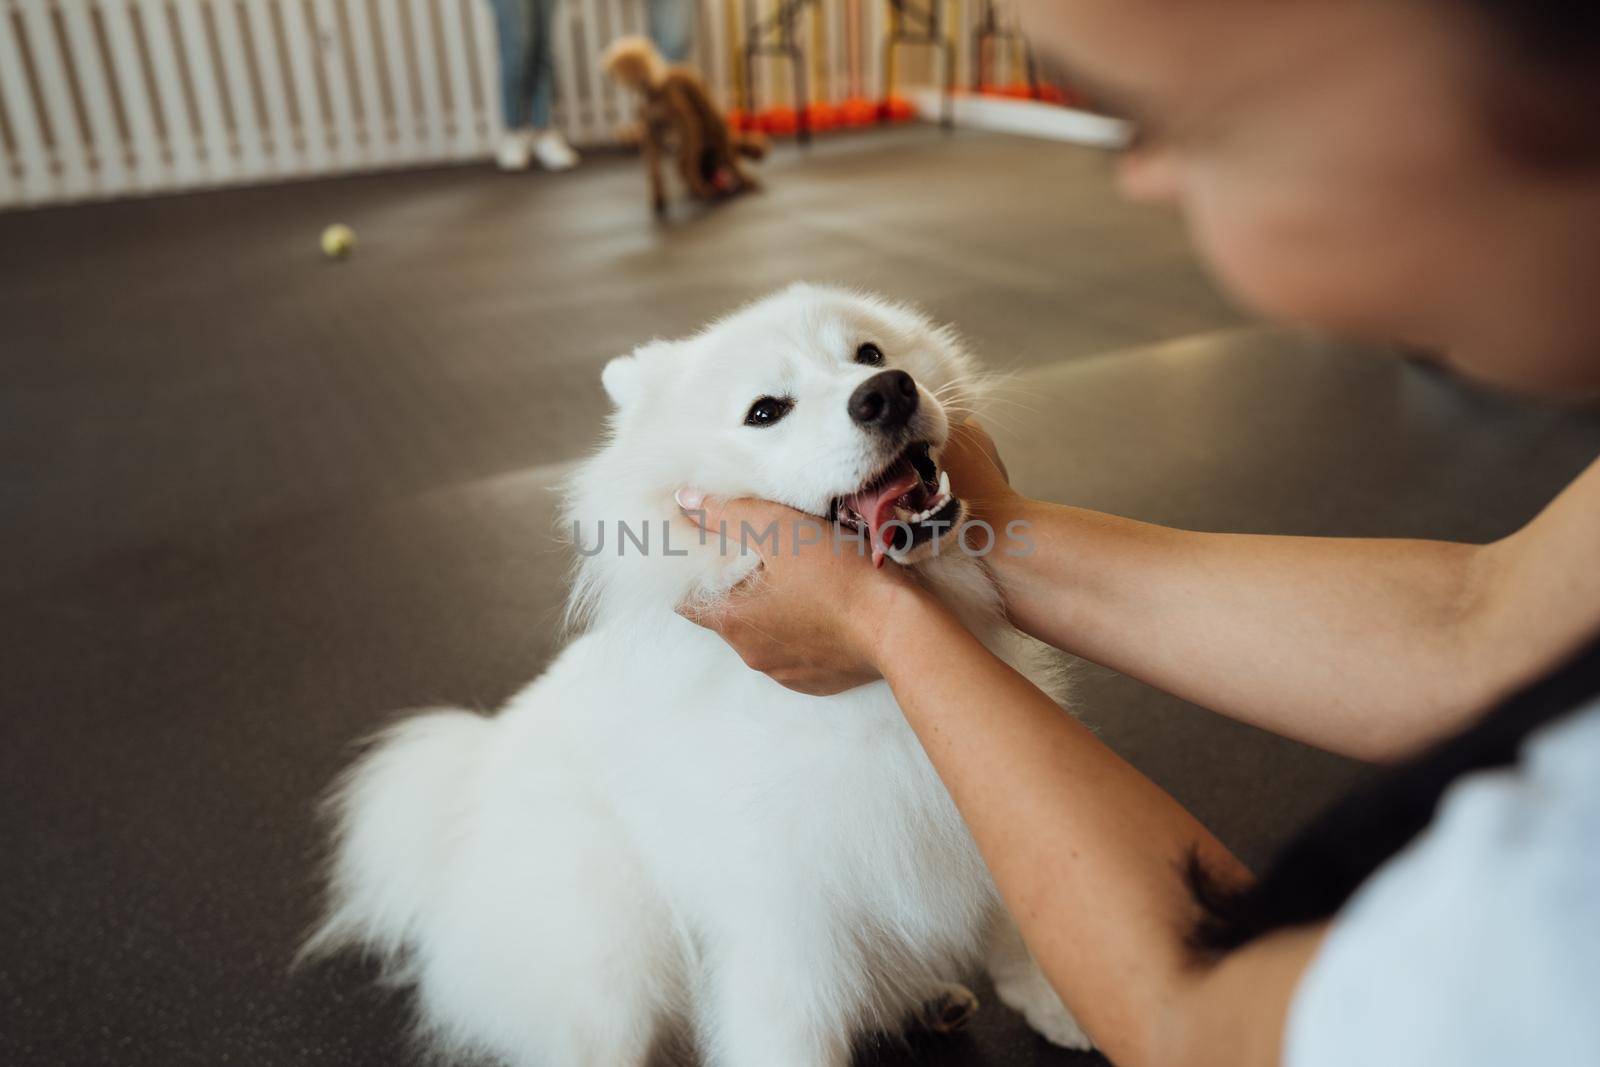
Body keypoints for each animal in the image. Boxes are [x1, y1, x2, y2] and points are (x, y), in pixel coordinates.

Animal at [305, 286, 1094, 1067]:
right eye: (766, 410)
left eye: (869, 353)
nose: (887, 393)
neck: (882, 675)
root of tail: (458, 809)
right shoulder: (786, 933)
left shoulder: (973, 819)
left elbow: (1018, 936)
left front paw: (1058, 1005)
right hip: (616, 950)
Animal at [604, 35, 768, 214]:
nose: (713, 177)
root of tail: (655, 89)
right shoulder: (717, 132)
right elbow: (733, 162)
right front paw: (747, 182)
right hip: (688, 128)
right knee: (684, 166)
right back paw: (702, 190)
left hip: (652, 138)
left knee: (656, 173)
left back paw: (660, 201)